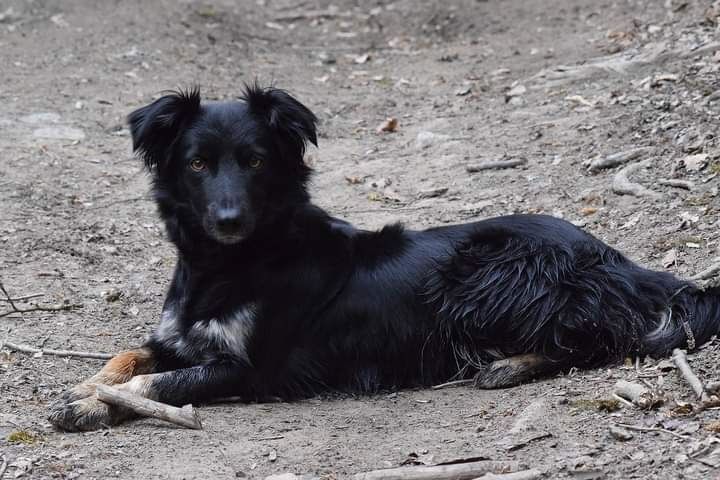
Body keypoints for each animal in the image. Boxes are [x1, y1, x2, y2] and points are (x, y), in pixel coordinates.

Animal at [49, 85, 720, 432]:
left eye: (256, 161)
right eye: (196, 163)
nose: (229, 219)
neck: (228, 265)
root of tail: (614, 259)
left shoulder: (249, 368)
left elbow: (153, 382)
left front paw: (89, 404)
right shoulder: (180, 336)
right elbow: (127, 358)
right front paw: (84, 388)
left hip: (486, 275)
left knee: (596, 339)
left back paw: (507, 365)